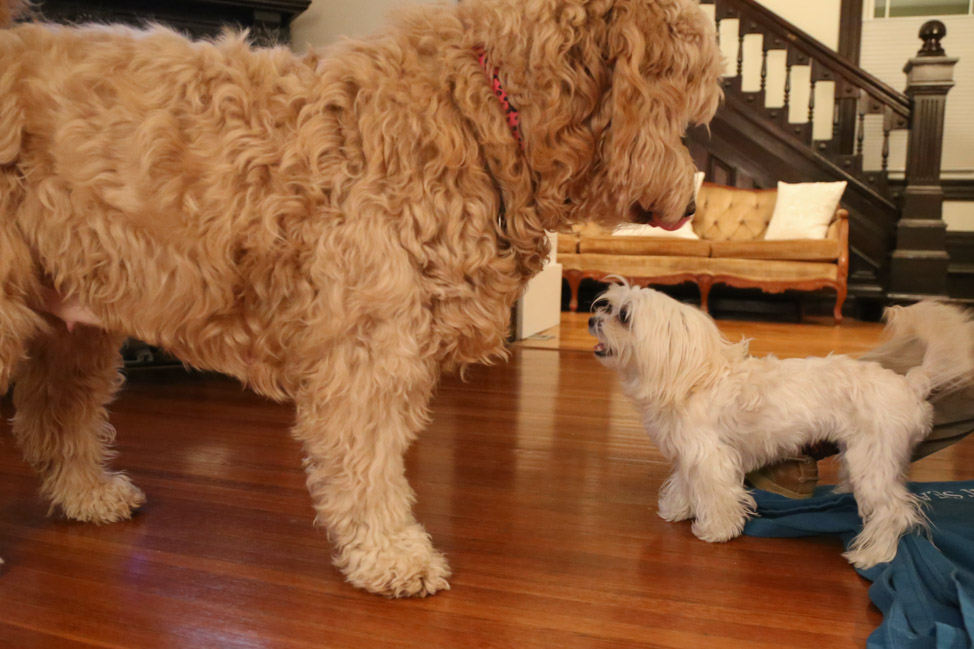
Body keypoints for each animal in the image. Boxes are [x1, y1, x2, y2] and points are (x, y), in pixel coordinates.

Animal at [0, 0, 716, 596]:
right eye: (684, 103)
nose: (694, 203)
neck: (475, 107)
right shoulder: (370, 346)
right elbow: (367, 464)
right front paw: (392, 556)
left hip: (74, 319)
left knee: (55, 414)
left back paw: (88, 494)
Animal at [592, 284, 972, 568]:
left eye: (624, 317)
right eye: (606, 306)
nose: (593, 318)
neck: (694, 377)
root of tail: (912, 383)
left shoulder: (711, 456)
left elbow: (718, 495)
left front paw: (717, 530)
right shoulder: (690, 454)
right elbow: (685, 483)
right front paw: (678, 510)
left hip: (872, 461)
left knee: (895, 512)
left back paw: (873, 555)